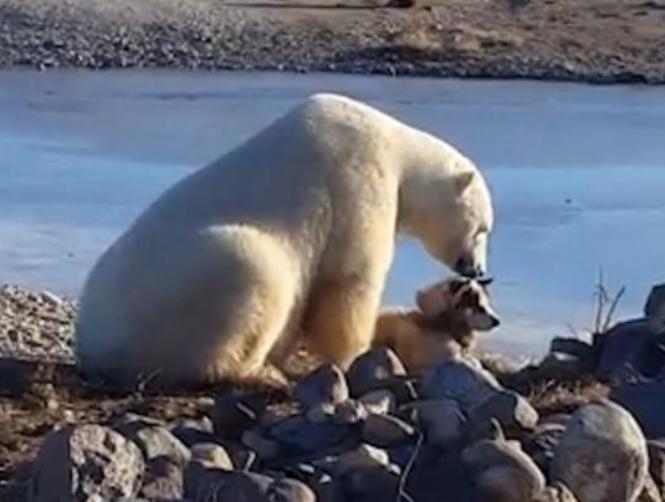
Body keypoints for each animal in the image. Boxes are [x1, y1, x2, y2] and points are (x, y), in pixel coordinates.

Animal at [75, 92, 494, 389]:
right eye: (483, 228)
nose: (477, 268)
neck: (398, 148)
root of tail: (94, 344)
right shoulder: (358, 181)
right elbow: (350, 280)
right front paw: (357, 354)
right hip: (175, 293)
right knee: (253, 269)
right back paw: (254, 372)